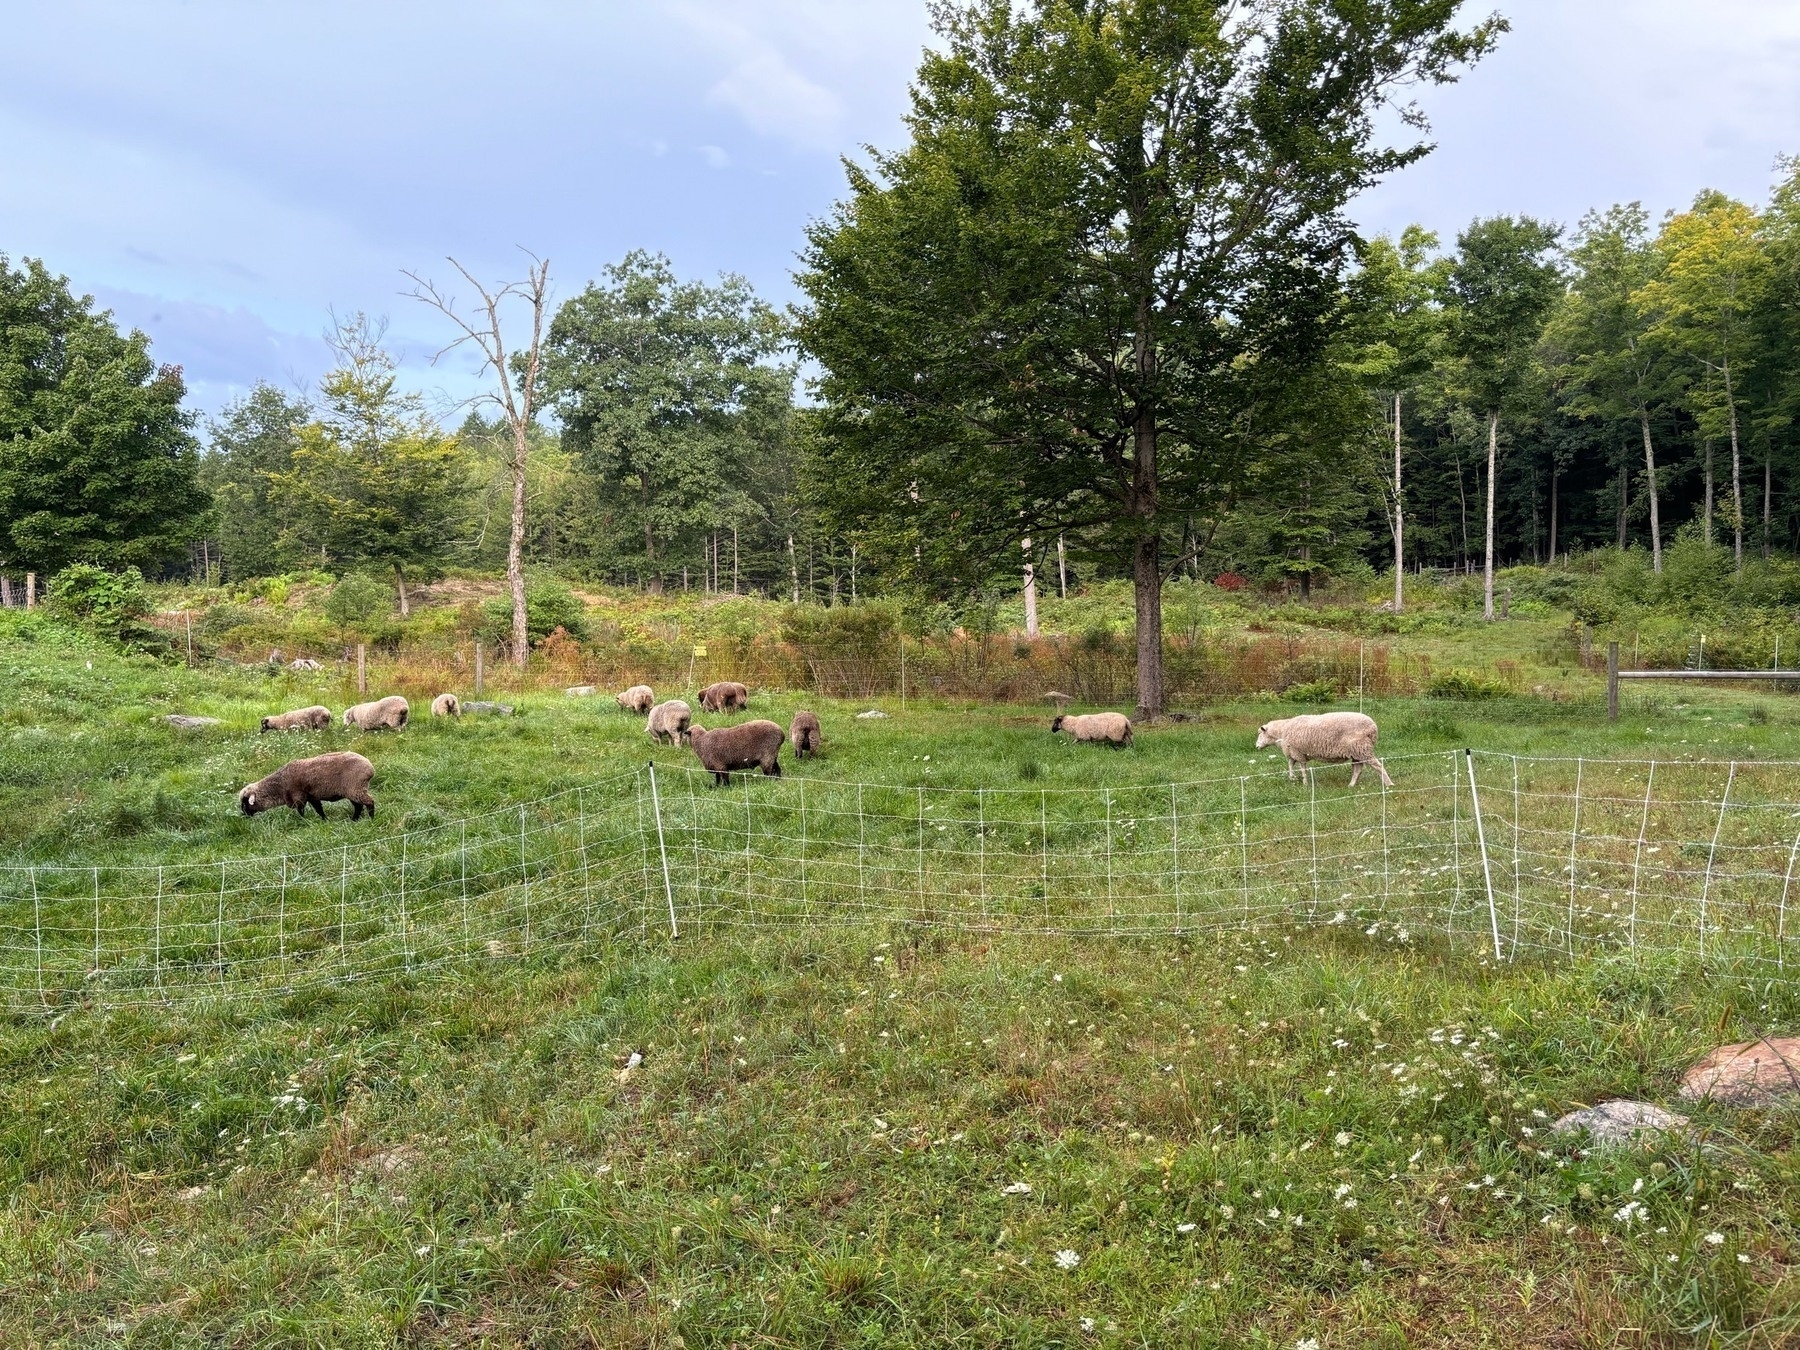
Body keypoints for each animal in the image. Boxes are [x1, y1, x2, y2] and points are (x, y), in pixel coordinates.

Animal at [237, 752, 374, 824]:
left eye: (245, 801)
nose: (244, 815)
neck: (280, 785)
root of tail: (370, 768)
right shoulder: (312, 796)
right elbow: (319, 810)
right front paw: (325, 820)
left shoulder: (299, 796)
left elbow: (301, 811)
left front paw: (304, 822)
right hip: (352, 790)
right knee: (358, 806)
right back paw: (354, 819)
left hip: (355, 788)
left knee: (369, 802)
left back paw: (371, 818)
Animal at [1252, 712, 1389, 788]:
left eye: (1259, 734)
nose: (1256, 746)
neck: (1282, 731)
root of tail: (1373, 727)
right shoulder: (1293, 752)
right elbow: (1290, 764)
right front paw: (1292, 777)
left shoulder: (1298, 752)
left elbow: (1302, 768)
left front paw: (1305, 783)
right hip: (1357, 752)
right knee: (1357, 769)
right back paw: (1351, 785)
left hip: (1362, 748)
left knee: (1378, 766)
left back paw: (1388, 784)